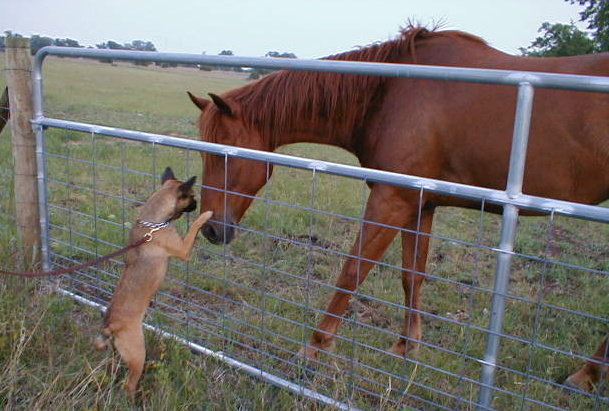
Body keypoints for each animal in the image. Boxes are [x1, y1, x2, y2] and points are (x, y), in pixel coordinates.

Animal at [93, 167, 211, 400]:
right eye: (192, 196)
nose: (197, 204)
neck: (153, 222)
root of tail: (111, 325)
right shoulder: (183, 249)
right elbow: (193, 228)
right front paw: (205, 216)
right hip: (138, 353)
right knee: (129, 384)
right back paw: (134, 398)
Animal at [189, 28, 608, 386]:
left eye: (226, 152)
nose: (210, 228)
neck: (389, 93)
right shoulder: (419, 205)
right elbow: (412, 275)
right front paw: (406, 347)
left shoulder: (392, 200)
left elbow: (352, 271)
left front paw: (313, 350)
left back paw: (585, 376)